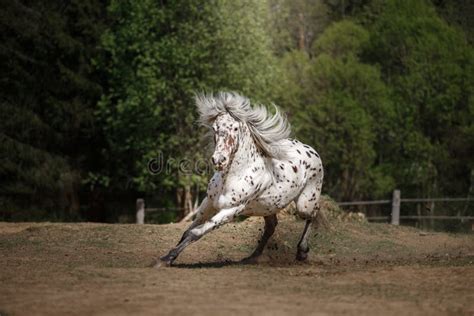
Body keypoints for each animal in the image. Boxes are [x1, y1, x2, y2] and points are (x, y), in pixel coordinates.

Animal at [154, 92, 324, 266]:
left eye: (235, 128)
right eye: (215, 128)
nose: (219, 160)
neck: (234, 176)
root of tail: (311, 150)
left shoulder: (231, 210)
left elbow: (196, 233)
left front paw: (165, 259)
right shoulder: (209, 203)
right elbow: (186, 231)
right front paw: (167, 258)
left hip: (305, 204)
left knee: (313, 214)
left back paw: (302, 252)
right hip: (268, 206)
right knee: (271, 227)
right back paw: (252, 257)